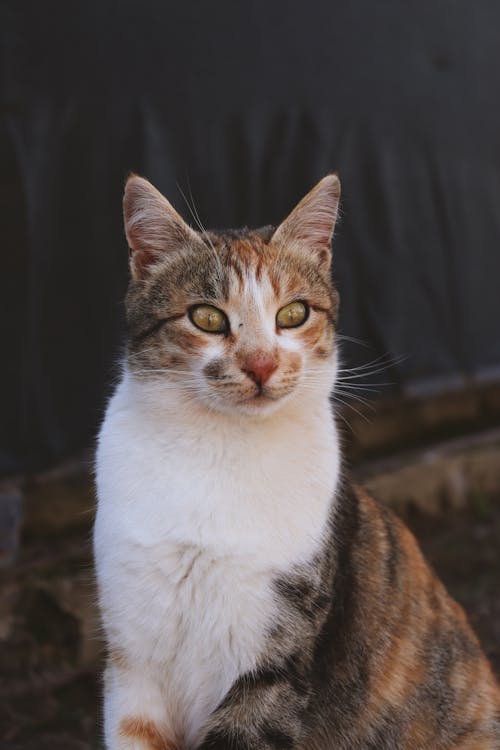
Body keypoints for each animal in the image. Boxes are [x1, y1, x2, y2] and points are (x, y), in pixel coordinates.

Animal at [94, 173, 500, 748]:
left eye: (293, 314)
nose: (262, 364)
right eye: (206, 317)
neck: (221, 450)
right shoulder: (134, 663)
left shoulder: (276, 662)